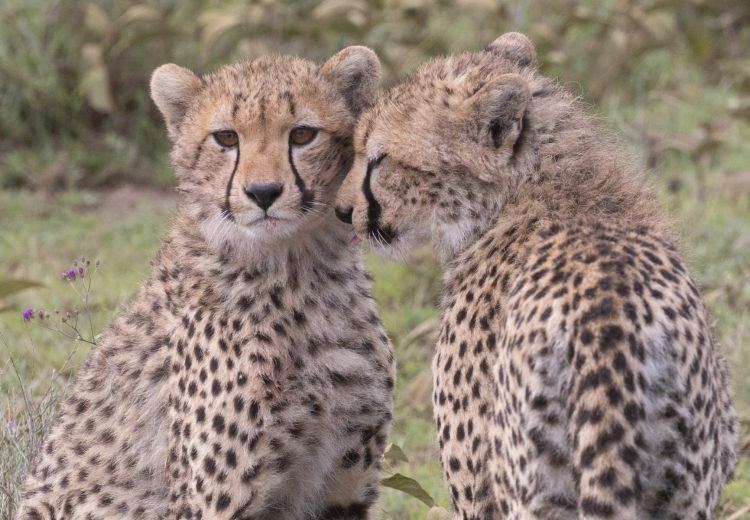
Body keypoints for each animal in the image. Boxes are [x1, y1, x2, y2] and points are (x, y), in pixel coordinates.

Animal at [16, 45, 394, 520]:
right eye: (226, 138)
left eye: (304, 134)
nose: (263, 192)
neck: (297, 270)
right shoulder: (213, 501)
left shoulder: (343, 489)